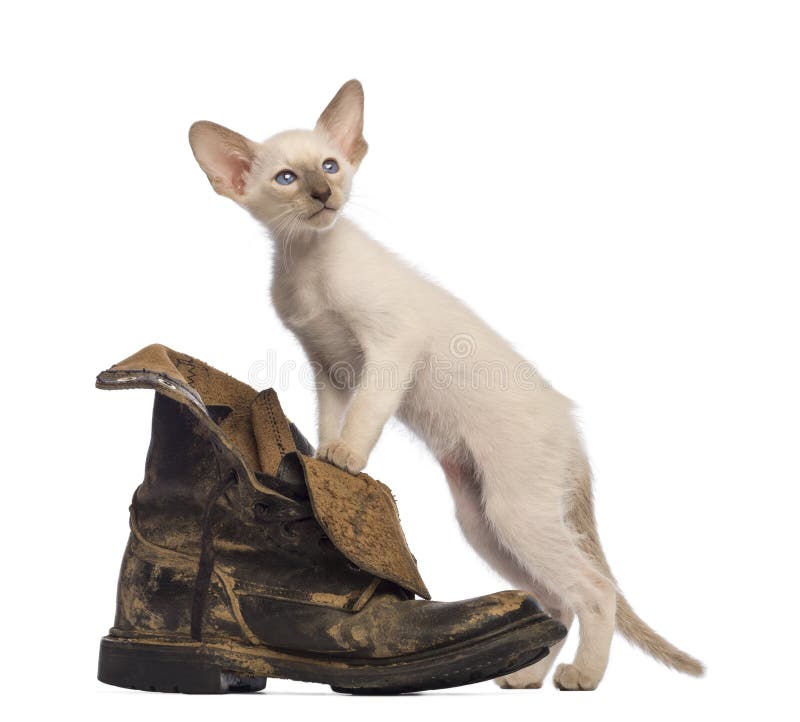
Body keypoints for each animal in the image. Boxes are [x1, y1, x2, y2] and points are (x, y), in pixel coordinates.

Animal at [188, 79, 700, 688]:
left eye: (330, 166)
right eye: (286, 178)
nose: (322, 193)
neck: (308, 258)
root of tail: (569, 427)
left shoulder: (390, 347)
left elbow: (365, 414)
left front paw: (345, 458)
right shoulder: (330, 367)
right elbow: (332, 418)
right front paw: (320, 461)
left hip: (514, 509)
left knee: (596, 591)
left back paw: (581, 677)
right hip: (482, 521)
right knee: (556, 599)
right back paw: (524, 675)